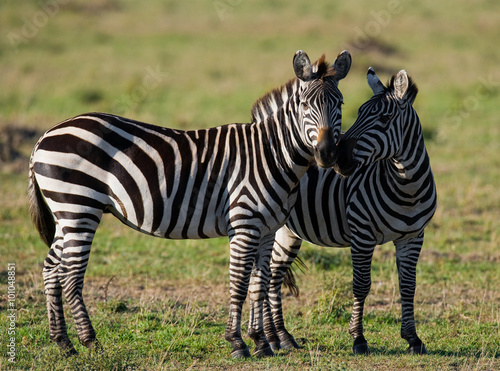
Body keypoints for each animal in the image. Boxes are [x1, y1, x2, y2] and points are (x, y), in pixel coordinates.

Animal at [27, 50, 352, 360]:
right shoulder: (244, 225)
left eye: (340, 104)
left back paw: (64, 343)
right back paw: (91, 342)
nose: (327, 154)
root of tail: (45, 136)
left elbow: (259, 285)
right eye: (305, 105)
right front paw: (238, 343)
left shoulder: (268, 230)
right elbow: (239, 284)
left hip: (66, 214)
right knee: (70, 276)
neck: (271, 153)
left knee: (51, 269)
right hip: (80, 209)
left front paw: (261, 342)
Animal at [262, 68, 438, 356]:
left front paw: (413, 339)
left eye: (384, 118)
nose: (337, 159)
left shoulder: (413, 237)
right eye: (358, 112)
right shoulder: (362, 234)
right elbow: (361, 284)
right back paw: (271, 336)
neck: (407, 188)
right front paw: (358, 338)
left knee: (274, 274)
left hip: (288, 231)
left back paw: (282, 337)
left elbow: (408, 286)